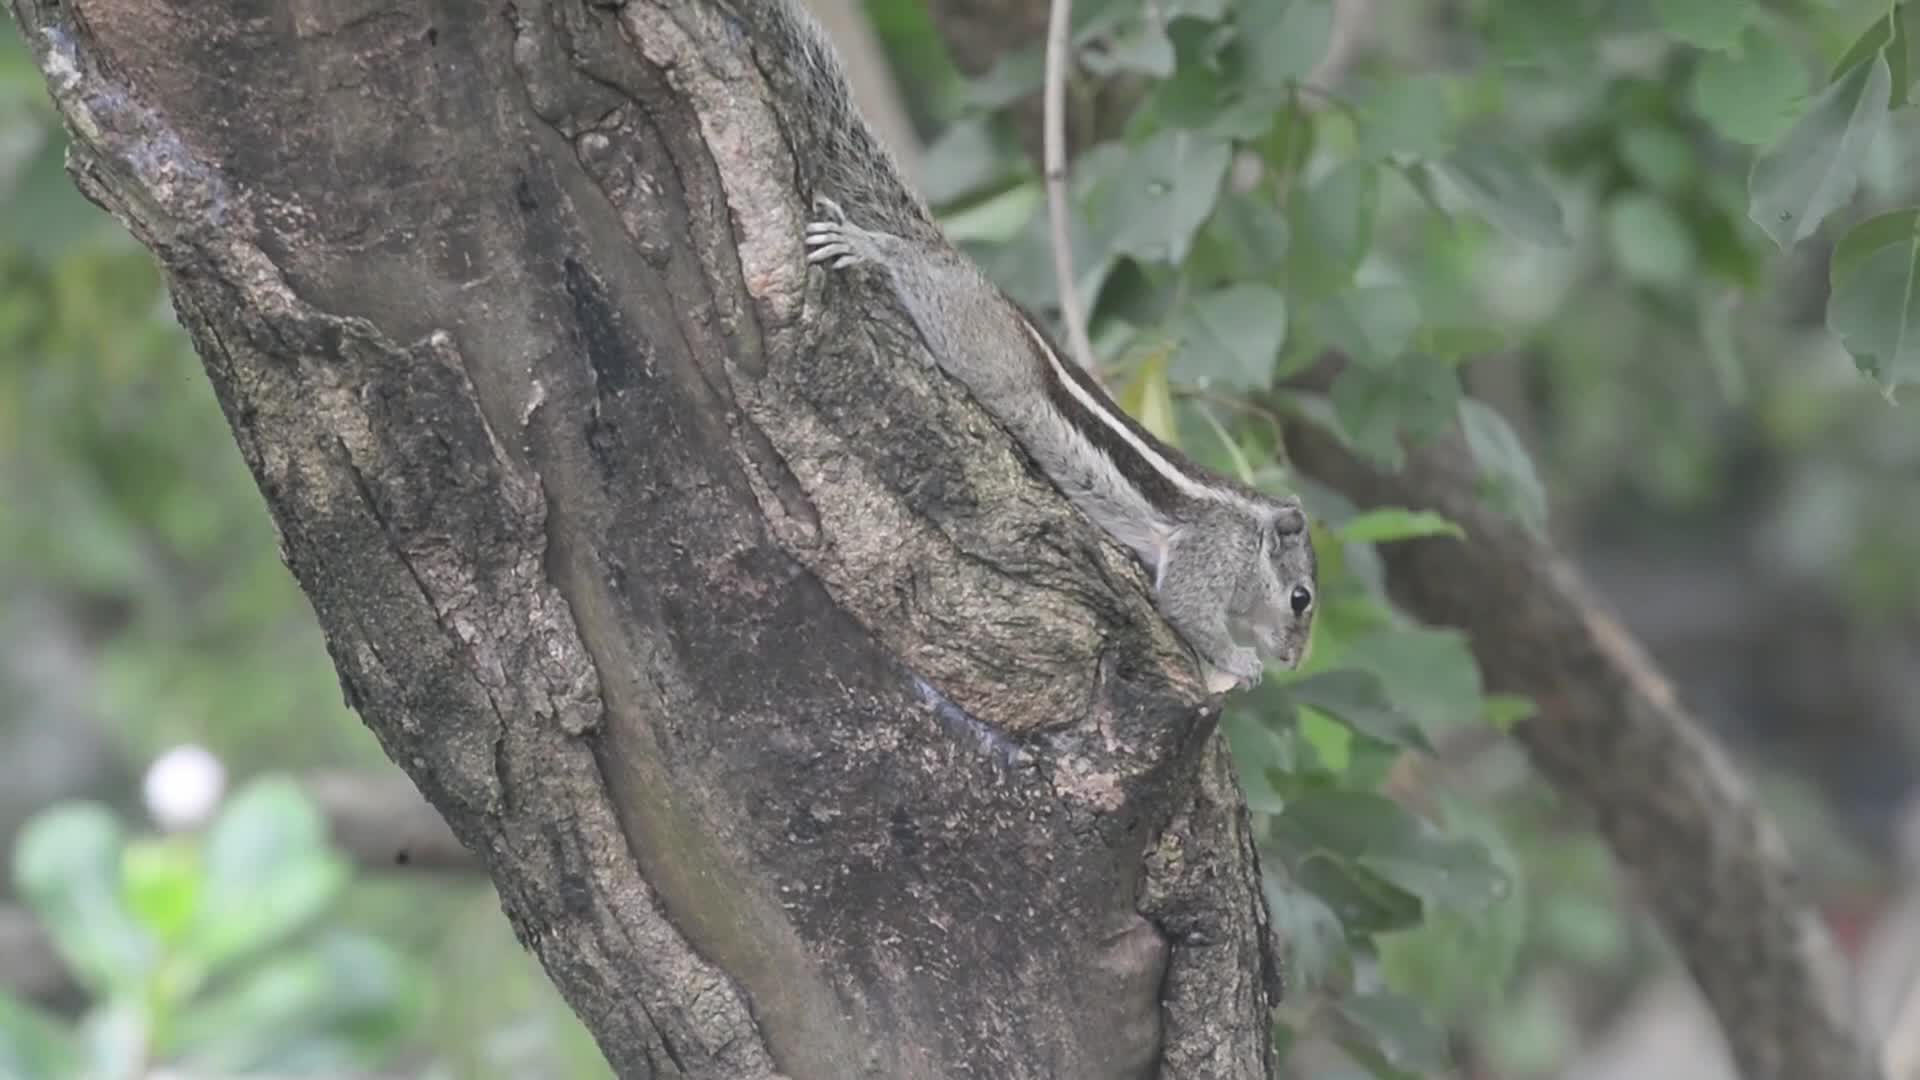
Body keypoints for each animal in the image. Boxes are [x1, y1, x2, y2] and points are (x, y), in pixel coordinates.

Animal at [804, 199, 1316, 692]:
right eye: (1300, 598)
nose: (1291, 662)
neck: (1250, 530)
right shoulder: (1213, 549)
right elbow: (1187, 607)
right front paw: (1241, 662)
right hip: (973, 338)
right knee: (916, 265)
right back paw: (868, 245)